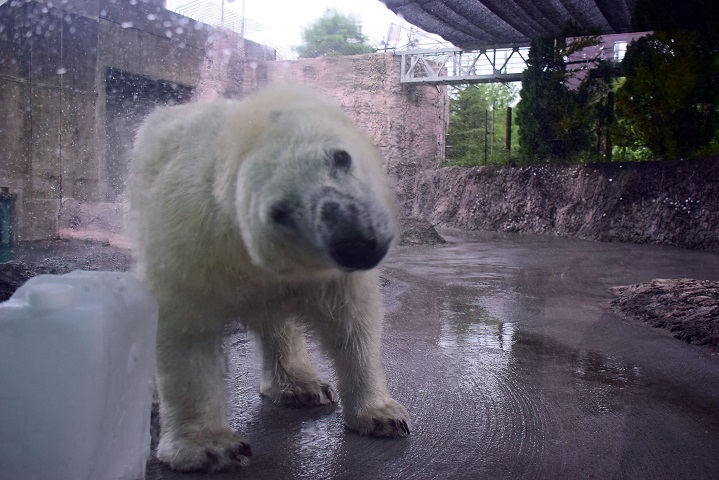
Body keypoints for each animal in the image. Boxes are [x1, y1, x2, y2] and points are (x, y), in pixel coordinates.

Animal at [126, 84, 410, 470]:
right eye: (280, 212)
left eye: (340, 158)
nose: (353, 241)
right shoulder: (189, 247)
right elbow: (187, 334)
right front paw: (209, 446)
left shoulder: (334, 277)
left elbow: (351, 323)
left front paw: (382, 415)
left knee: (278, 324)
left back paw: (302, 386)